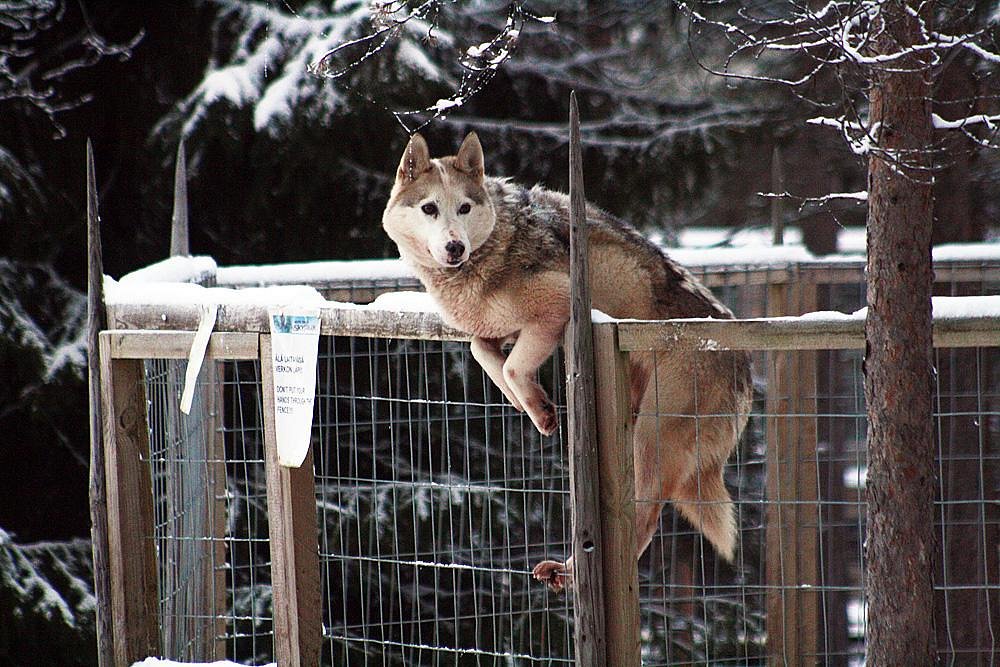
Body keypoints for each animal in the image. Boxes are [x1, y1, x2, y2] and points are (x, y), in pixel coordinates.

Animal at [382, 133, 752, 592]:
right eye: (429, 208)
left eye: (464, 208)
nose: (455, 247)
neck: (494, 246)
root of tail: (744, 365)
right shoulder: (498, 329)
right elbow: (484, 354)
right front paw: (528, 405)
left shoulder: (557, 310)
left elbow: (510, 366)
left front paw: (540, 409)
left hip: (651, 437)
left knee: (645, 516)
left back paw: (574, 569)